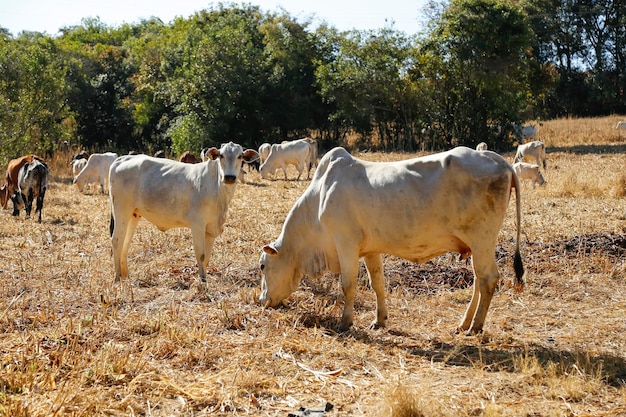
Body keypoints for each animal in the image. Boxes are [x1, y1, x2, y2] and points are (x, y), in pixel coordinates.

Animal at [108, 141, 258, 282]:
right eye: (221, 155)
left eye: (240, 156)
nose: (229, 177)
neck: (217, 188)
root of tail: (121, 159)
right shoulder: (197, 224)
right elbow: (201, 254)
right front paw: (202, 281)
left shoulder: (211, 228)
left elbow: (207, 257)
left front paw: (204, 277)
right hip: (121, 210)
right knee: (116, 240)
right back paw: (117, 277)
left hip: (133, 214)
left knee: (125, 243)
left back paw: (126, 276)